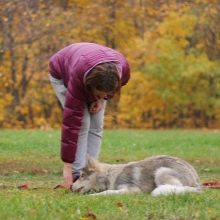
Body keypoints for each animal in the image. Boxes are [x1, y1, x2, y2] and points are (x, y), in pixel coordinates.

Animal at [72, 155, 201, 196]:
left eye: (82, 176)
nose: (70, 186)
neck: (108, 176)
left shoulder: (131, 190)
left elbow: (107, 192)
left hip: (161, 172)